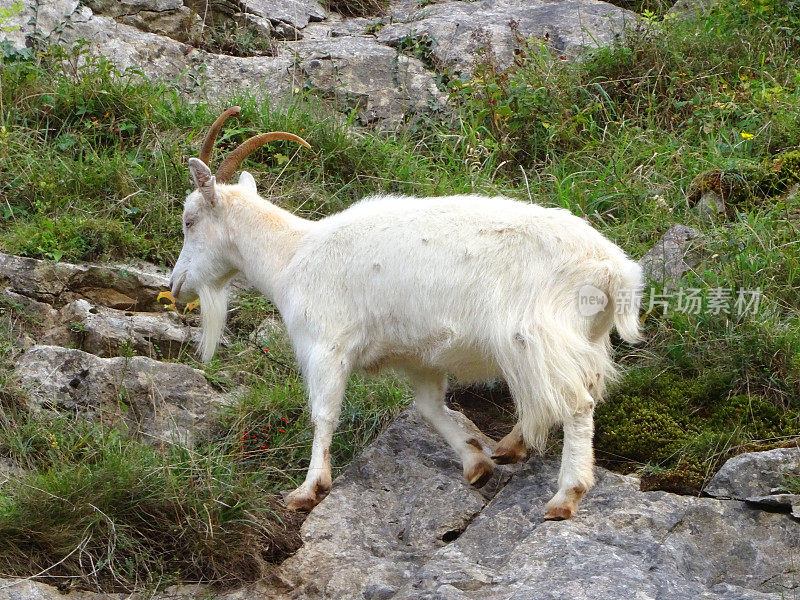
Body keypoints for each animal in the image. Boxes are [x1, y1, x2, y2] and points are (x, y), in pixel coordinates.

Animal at [170, 109, 644, 520]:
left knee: (577, 402)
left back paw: (566, 495)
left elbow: (323, 413)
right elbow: (430, 408)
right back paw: (508, 447)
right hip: (579, 338)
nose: (176, 286)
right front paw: (475, 463)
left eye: (190, 220)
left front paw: (308, 490)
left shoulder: (327, 345)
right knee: (579, 391)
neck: (292, 255)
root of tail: (612, 269)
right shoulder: (420, 358)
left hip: (535, 336)